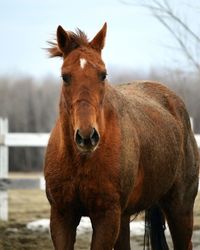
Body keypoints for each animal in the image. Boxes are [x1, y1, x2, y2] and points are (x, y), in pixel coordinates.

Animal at [44, 22, 199, 249]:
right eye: (65, 76)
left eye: (103, 74)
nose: (87, 136)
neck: (81, 160)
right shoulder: (62, 216)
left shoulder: (107, 217)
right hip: (125, 217)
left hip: (180, 208)